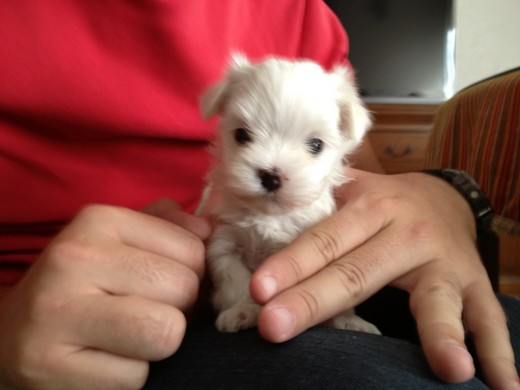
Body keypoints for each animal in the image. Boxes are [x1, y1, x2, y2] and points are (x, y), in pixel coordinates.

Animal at [201, 54, 380, 336]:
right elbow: (235, 280)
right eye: (241, 135)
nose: (271, 176)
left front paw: (347, 320)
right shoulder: (225, 242)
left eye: (316, 145)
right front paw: (242, 310)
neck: (272, 215)